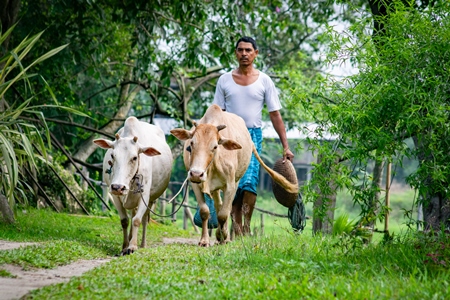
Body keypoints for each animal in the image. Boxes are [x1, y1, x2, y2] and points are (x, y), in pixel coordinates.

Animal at [93, 116, 172, 254]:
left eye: (134, 157)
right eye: (112, 155)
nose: (118, 187)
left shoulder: (145, 196)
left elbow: (137, 220)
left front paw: (132, 246)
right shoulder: (115, 196)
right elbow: (125, 220)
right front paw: (125, 246)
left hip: (151, 200)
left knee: (144, 219)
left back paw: (143, 244)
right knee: (132, 214)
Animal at [171, 103, 298, 246]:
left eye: (215, 146)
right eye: (192, 143)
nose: (197, 173)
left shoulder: (230, 185)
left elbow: (223, 214)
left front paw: (223, 236)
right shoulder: (195, 184)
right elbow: (205, 211)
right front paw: (204, 240)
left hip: (237, 180)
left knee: (229, 207)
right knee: (218, 204)